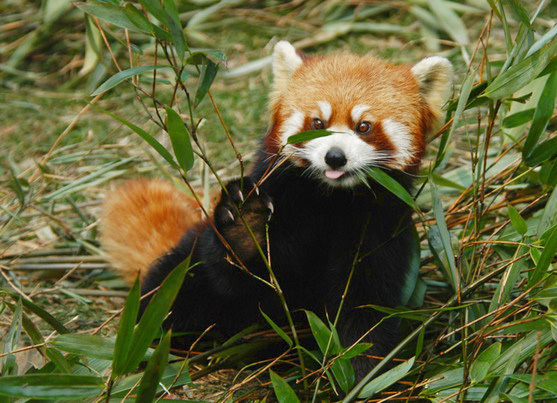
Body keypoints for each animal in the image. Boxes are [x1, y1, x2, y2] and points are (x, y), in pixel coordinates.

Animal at [100, 41, 450, 386]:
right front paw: (246, 226)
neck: (331, 201)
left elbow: (367, 305)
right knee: (171, 293)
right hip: (186, 267)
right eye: (317, 123)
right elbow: (237, 276)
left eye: (363, 126)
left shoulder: (380, 229)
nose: (335, 156)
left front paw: (363, 374)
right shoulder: (281, 200)